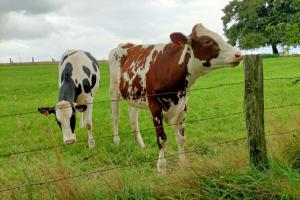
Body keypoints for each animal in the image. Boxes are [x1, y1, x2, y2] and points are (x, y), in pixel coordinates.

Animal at [109, 23, 243, 173]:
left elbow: (181, 137)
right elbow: (162, 139)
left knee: (133, 116)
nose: (239, 54)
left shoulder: (183, 106)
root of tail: (125, 44)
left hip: (134, 95)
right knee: (115, 116)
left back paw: (141, 144)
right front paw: (161, 168)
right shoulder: (155, 107)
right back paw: (116, 141)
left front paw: (184, 163)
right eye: (207, 41)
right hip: (113, 89)